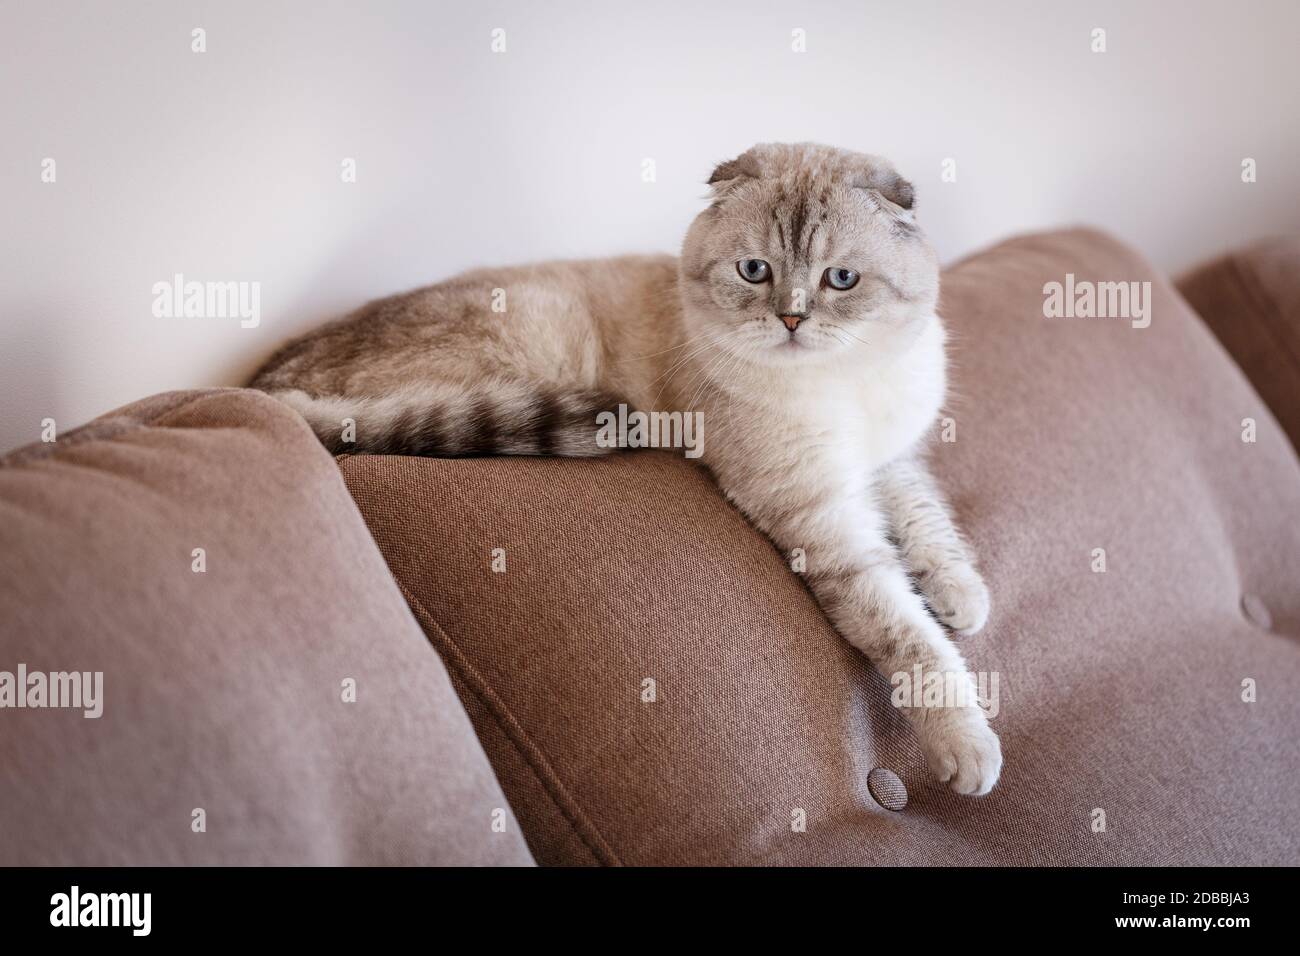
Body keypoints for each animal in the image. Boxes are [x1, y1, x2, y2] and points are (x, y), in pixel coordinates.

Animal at [256, 141, 1003, 796]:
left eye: (840, 279)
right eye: (754, 271)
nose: (791, 319)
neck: (845, 382)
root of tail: (268, 386)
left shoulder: (890, 461)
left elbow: (929, 523)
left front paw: (962, 597)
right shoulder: (823, 515)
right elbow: (907, 634)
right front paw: (966, 746)